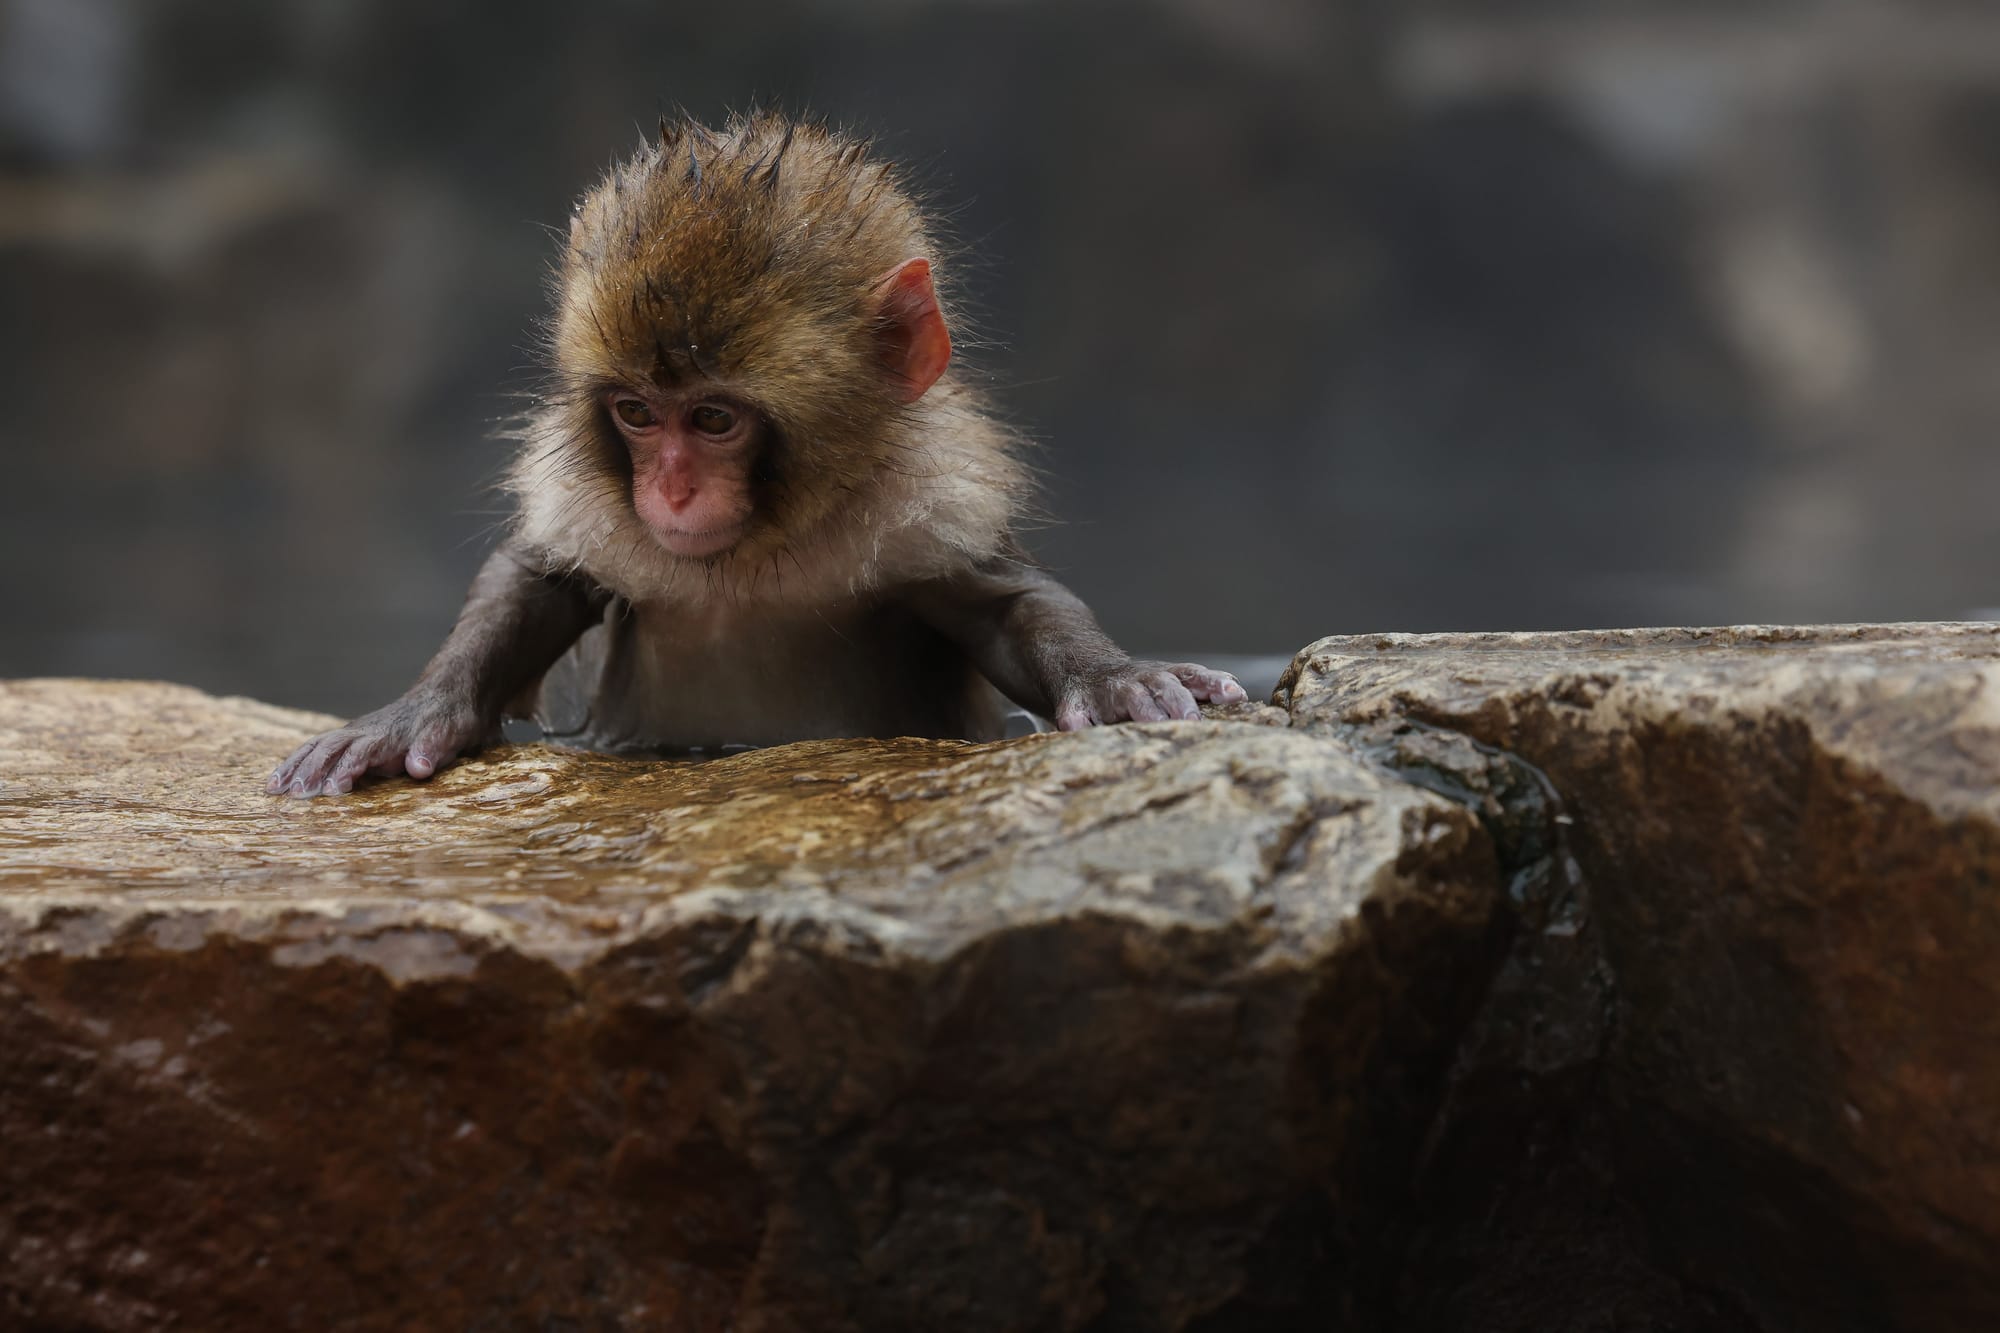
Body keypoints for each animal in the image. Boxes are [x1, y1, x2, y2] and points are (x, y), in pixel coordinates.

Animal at [268, 113, 1245, 798]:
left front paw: (1116, 679)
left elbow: (1006, 606)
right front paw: (414, 715)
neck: (749, 553)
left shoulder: (932, 496)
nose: (670, 489)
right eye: (635, 413)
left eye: (712, 419)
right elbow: (537, 582)